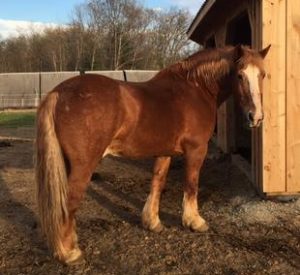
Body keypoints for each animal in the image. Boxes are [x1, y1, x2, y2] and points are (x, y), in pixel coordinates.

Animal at [36, 44, 270, 264]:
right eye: (239, 75)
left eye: (263, 74)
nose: (256, 117)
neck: (196, 89)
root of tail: (58, 93)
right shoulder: (196, 150)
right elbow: (191, 184)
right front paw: (194, 221)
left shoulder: (164, 152)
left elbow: (158, 183)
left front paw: (152, 222)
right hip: (83, 166)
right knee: (69, 203)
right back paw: (70, 253)